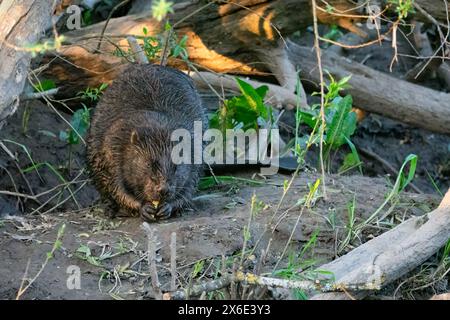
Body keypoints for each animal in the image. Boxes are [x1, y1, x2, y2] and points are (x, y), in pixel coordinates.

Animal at [86, 63, 207, 221]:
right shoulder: (113, 144)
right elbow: (115, 184)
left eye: (176, 166)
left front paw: (167, 207)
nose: (163, 190)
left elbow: (191, 184)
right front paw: (144, 208)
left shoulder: (195, 146)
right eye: (149, 164)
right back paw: (111, 210)